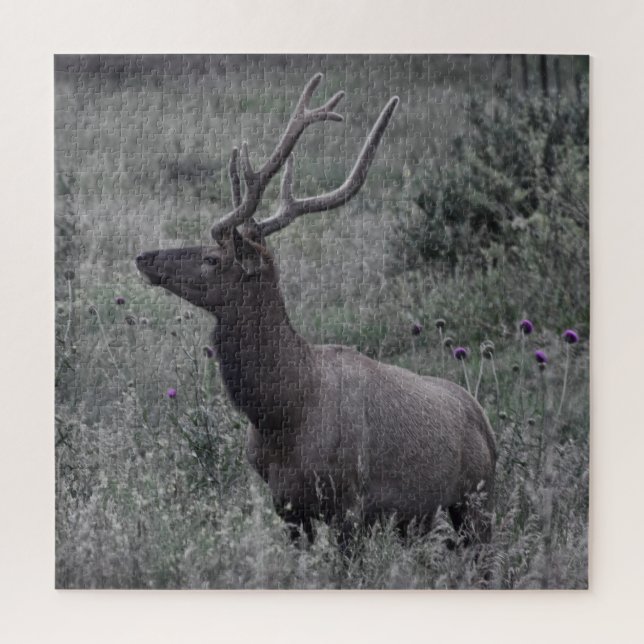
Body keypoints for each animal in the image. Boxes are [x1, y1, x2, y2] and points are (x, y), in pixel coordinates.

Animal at [136, 73, 496, 546]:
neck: (284, 413)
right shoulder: (286, 505)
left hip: (478, 500)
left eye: (213, 259)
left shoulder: (350, 505)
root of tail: (488, 427)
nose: (144, 256)